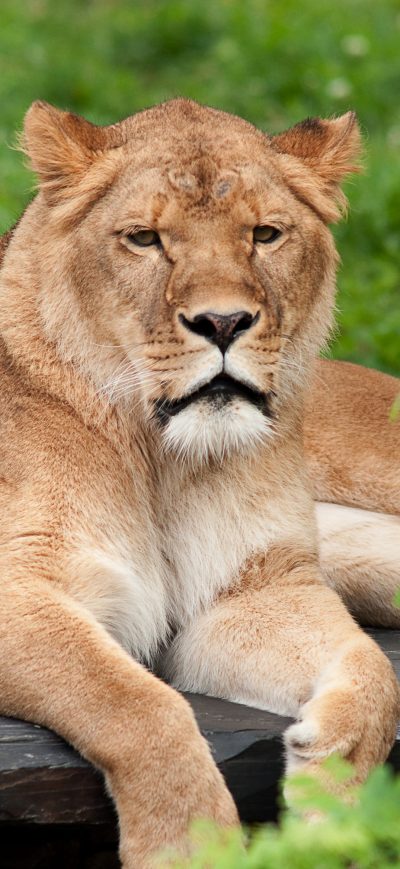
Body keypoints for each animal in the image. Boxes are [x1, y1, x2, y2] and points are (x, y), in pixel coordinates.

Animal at [0, 97, 399, 868]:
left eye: (265, 234)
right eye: (145, 239)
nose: (223, 321)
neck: (163, 459)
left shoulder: (253, 588)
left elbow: (374, 672)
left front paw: (331, 803)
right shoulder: (22, 584)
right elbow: (135, 703)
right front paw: (192, 844)